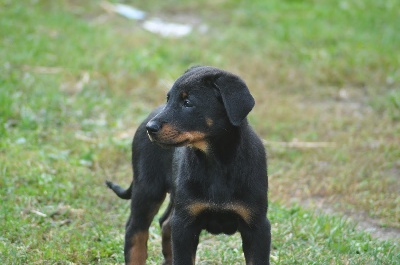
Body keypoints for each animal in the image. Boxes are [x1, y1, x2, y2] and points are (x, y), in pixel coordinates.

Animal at [106, 65, 270, 262]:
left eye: (188, 103)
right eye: (168, 98)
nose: (150, 128)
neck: (216, 162)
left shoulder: (257, 225)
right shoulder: (185, 224)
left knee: (165, 223)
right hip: (148, 187)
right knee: (136, 231)